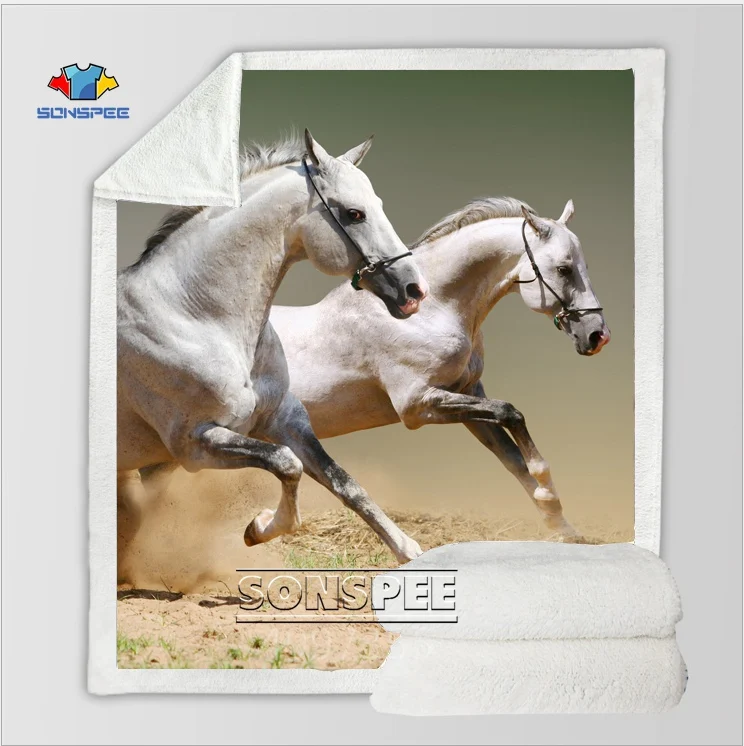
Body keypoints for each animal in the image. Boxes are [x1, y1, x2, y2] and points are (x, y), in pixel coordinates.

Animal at [117, 130, 430, 570]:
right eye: (354, 214)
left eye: (379, 206)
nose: (414, 290)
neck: (195, 315)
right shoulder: (195, 444)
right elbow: (287, 463)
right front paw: (261, 528)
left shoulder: (284, 418)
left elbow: (344, 483)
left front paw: (408, 550)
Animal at [270, 198, 610, 543]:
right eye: (564, 269)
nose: (598, 336)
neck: (430, 311)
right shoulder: (417, 405)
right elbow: (511, 413)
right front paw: (547, 490)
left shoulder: (467, 395)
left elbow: (513, 458)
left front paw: (562, 525)